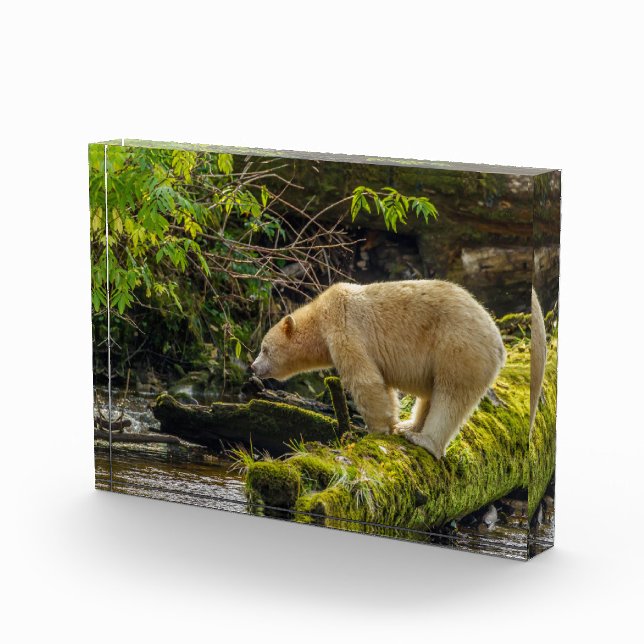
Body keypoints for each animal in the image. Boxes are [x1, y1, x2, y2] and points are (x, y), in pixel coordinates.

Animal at [251, 280, 506, 459]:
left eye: (264, 349)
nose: (253, 367)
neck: (320, 317)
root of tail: (499, 344)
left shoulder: (344, 327)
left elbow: (365, 379)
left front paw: (376, 430)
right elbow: (383, 385)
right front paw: (392, 423)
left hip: (459, 348)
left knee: (451, 395)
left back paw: (423, 439)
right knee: (432, 394)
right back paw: (409, 425)